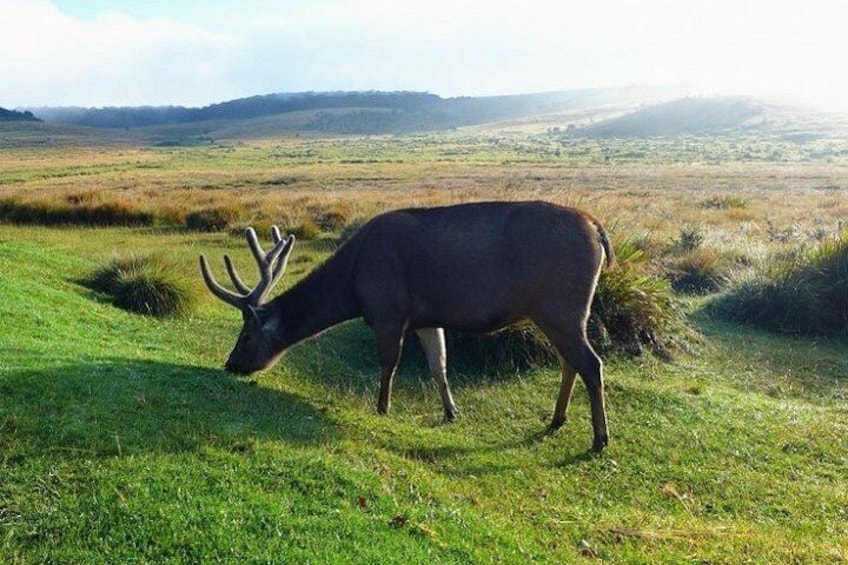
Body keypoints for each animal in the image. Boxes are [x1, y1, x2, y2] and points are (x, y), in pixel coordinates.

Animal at [203, 200, 620, 452]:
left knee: (591, 363)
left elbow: (389, 363)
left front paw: (382, 407)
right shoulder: (426, 318)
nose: (231, 364)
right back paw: (557, 420)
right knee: (571, 362)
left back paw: (599, 438)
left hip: (560, 305)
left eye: (246, 336)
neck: (353, 286)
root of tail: (597, 230)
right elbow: (439, 365)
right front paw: (451, 411)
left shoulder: (387, 310)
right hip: (559, 312)